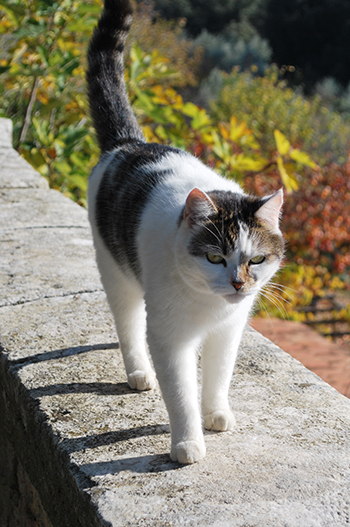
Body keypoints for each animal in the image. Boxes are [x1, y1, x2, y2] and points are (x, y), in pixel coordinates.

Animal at [87, 0, 284, 464]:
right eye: (215, 257)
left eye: (256, 259)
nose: (239, 284)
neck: (208, 306)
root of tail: (127, 144)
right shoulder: (170, 337)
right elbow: (180, 394)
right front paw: (187, 443)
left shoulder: (228, 331)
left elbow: (217, 376)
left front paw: (216, 413)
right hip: (115, 271)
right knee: (128, 323)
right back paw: (138, 369)